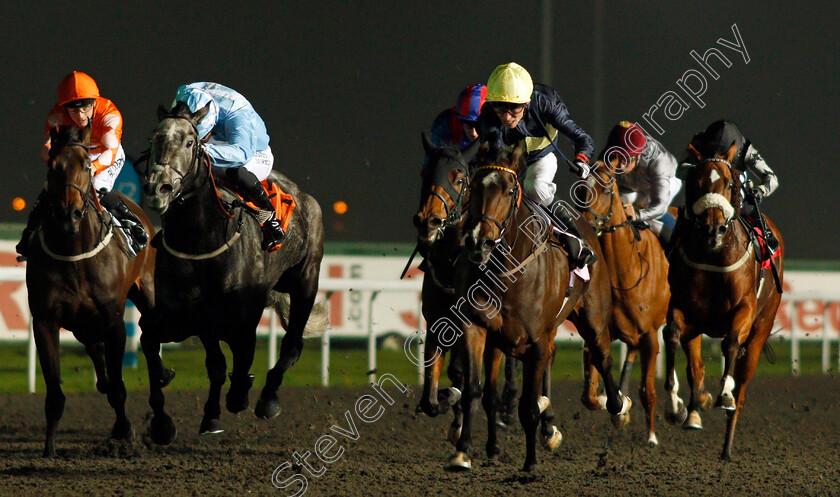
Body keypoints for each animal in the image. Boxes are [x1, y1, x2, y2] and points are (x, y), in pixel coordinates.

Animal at [25, 125, 156, 458]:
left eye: (86, 165)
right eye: (52, 167)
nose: (68, 213)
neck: (75, 253)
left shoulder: (113, 321)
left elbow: (119, 389)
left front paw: (125, 430)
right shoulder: (45, 321)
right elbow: (55, 393)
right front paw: (49, 449)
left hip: (146, 291)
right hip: (81, 324)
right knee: (96, 351)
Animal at [139, 101, 326, 442]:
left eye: (190, 142)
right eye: (153, 139)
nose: (158, 188)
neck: (202, 244)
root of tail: (305, 197)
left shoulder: (242, 319)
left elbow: (239, 368)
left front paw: (240, 395)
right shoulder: (187, 317)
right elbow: (163, 346)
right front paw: (170, 420)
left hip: (306, 282)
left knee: (292, 344)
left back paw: (267, 399)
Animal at [452, 142, 632, 468]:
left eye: (510, 190)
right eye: (473, 186)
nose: (479, 241)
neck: (504, 271)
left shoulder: (535, 340)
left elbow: (528, 407)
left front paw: (531, 462)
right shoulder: (476, 327)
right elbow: (474, 391)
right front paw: (463, 451)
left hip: (593, 316)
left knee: (603, 356)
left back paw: (617, 405)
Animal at [576, 162, 668, 446]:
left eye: (606, 189)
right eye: (581, 189)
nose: (584, 224)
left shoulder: (650, 335)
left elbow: (648, 391)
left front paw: (651, 437)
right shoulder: (597, 331)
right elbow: (589, 396)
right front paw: (617, 405)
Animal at [664, 141, 788, 460]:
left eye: (731, 183)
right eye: (695, 182)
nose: (713, 229)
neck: (714, 256)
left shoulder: (744, 309)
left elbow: (731, 343)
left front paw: (725, 394)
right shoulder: (683, 309)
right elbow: (672, 336)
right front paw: (675, 405)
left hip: (762, 326)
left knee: (742, 384)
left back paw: (727, 445)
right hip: (697, 329)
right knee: (695, 367)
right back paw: (693, 414)